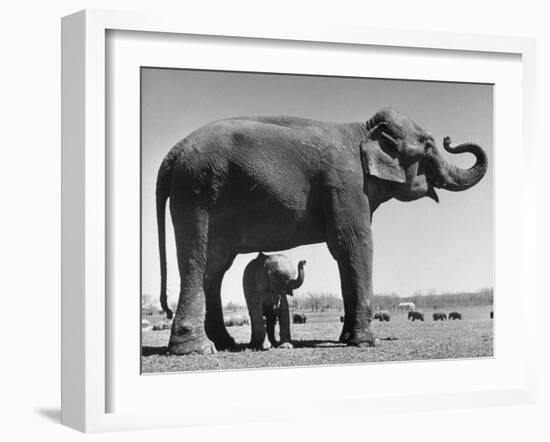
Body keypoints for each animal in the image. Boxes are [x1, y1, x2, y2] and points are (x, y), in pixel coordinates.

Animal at [157, 108, 490, 356]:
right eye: (428, 145)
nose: (449, 138)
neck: (363, 130)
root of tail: (174, 152)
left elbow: (344, 254)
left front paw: (347, 338)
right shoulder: (346, 184)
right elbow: (355, 244)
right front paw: (368, 342)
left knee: (216, 267)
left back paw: (224, 343)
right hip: (197, 192)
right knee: (197, 261)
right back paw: (198, 350)